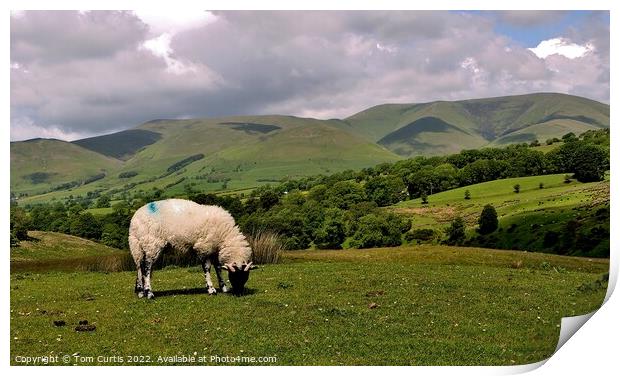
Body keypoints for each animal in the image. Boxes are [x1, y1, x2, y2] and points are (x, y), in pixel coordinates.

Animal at [128, 198, 256, 298]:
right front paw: (211, 289)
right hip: (151, 244)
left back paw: (140, 292)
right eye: (235, 277)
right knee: (146, 268)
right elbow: (207, 268)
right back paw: (149, 293)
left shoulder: (214, 250)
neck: (225, 235)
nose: (239, 293)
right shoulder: (204, 247)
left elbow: (218, 268)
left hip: (138, 247)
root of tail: (134, 222)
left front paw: (224, 287)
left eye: (245, 277)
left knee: (139, 267)